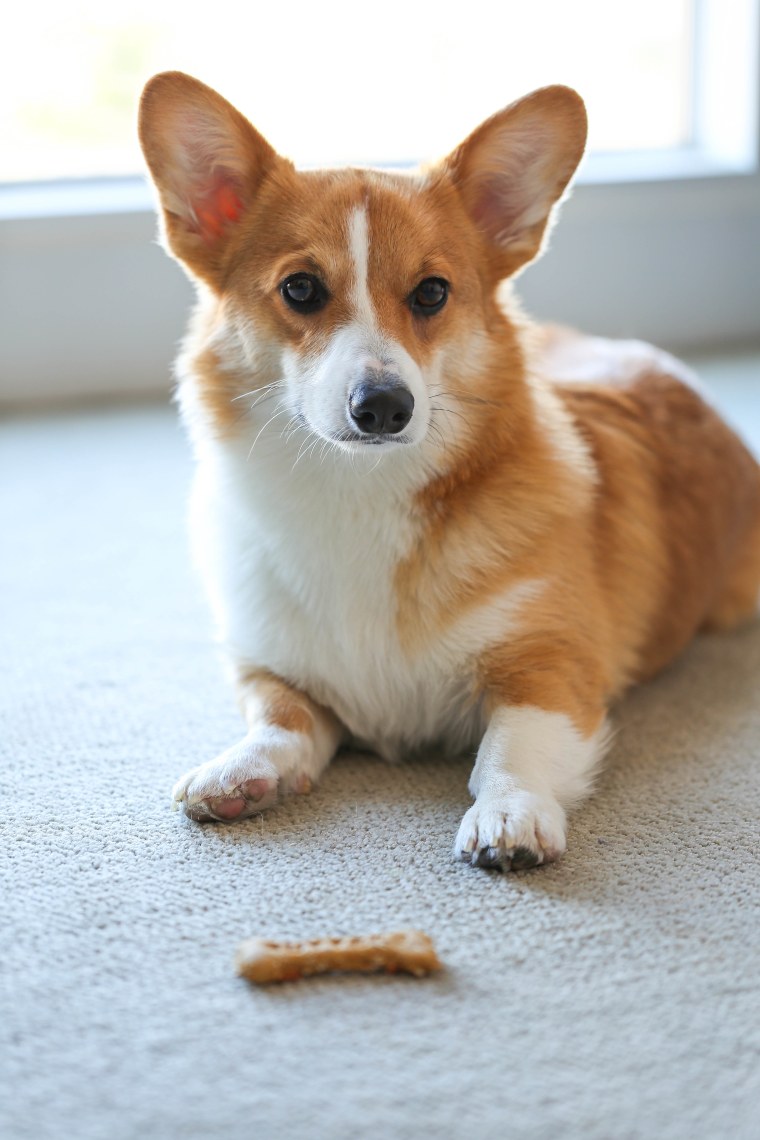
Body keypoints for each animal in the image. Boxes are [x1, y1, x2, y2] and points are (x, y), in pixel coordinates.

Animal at [138, 71, 760, 870]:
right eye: (301, 289)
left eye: (431, 292)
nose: (384, 407)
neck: (356, 495)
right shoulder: (267, 663)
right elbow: (279, 716)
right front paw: (242, 769)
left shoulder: (551, 668)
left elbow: (510, 747)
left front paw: (510, 814)